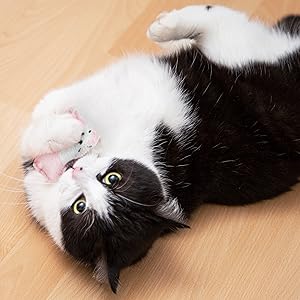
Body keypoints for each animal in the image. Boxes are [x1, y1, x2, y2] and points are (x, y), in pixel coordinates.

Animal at [21, 5, 300, 292]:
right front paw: (65, 133)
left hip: (242, 57)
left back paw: (165, 27)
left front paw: (67, 130)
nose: (76, 170)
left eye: (81, 205)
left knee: (220, 20)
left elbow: (45, 111)